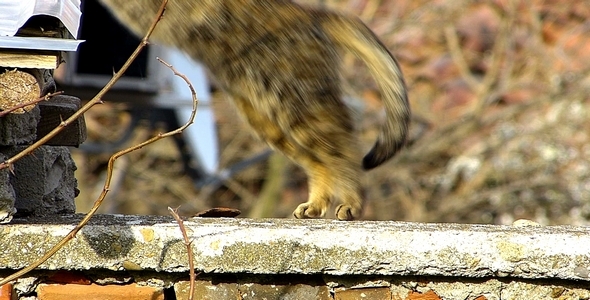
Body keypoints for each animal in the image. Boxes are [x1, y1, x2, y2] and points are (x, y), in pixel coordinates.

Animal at [98, 0, 412, 220]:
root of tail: (308, 13)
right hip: (269, 119)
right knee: (321, 161)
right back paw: (315, 204)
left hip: (296, 103)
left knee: (344, 151)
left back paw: (351, 201)